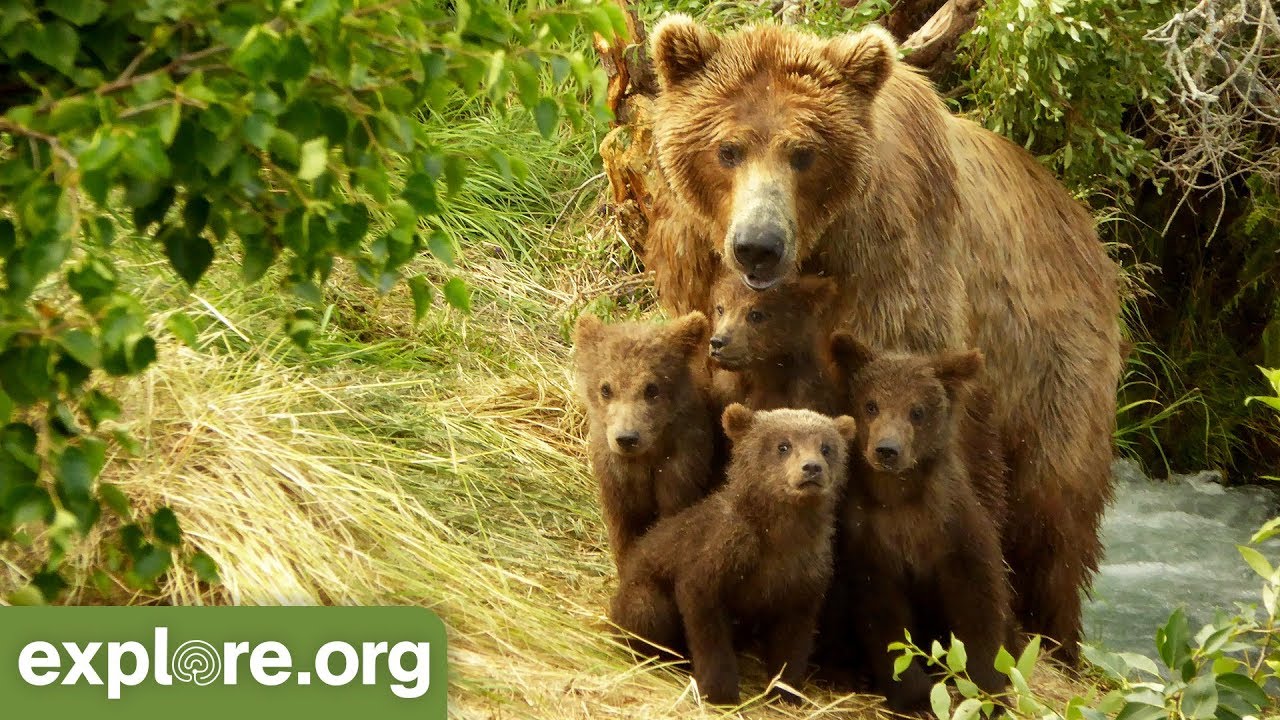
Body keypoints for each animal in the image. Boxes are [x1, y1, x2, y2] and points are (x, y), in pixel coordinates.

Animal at [573, 311, 719, 570]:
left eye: (652, 388)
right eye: (605, 388)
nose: (627, 438)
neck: (647, 459)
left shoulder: (680, 472)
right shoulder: (617, 484)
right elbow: (624, 536)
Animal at [609, 403, 857, 705]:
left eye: (826, 447)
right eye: (783, 445)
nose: (811, 468)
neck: (781, 535)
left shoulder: (806, 575)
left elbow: (793, 639)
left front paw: (785, 691)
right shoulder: (720, 553)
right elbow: (707, 625)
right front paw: (720, 691)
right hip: (642, 589)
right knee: (644, 608)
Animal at [820, 333, 1013, 713]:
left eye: (917, 410)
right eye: (871, 405)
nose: (887, 449)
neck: (899, 499)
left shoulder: (953, 529)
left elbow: (978, 606)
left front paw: (989, 689)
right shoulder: (869, 543)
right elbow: (885, 622)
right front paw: (914, 694)